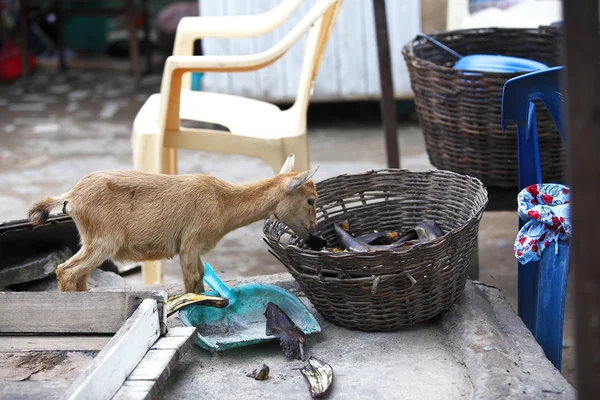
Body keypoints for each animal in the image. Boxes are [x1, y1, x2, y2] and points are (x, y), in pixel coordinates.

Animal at [28, 155, 318, 292]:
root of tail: (71, 196)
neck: (222, 202)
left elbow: (200, 277)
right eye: (311, 200)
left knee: (80, 275)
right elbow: (191, 280)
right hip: (102, 242)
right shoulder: (190, 244)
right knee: (67, 271)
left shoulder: (196, 249)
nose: (316, 236)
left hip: (92, 243)